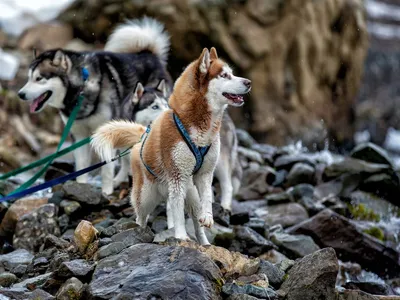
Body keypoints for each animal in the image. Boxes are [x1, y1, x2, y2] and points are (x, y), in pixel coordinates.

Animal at [92, 47, 252, 244]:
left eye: (231, 73)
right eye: (224, 75)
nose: (249, 82)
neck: (198, 128)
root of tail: (143, 135)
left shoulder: (205, 173)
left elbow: (206, 197)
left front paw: (207, 216)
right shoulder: (177, 176)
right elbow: (176, 210)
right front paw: (180, 235)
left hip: (192, 193)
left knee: (197, 220)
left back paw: (204, 243)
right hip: (146, 195)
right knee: (141, 216)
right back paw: (139, 231)